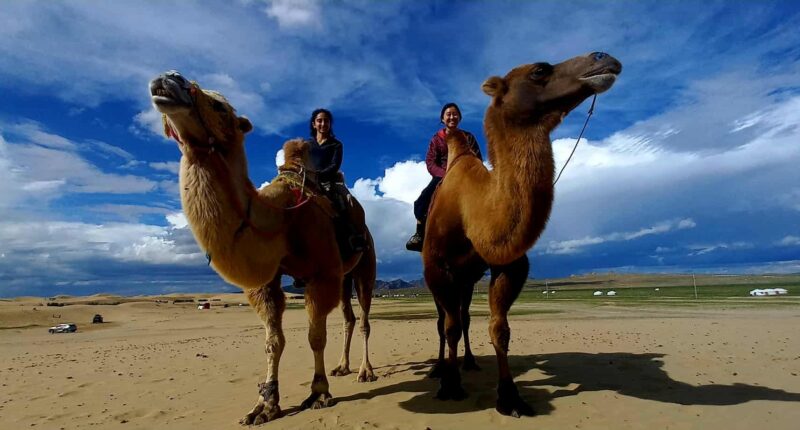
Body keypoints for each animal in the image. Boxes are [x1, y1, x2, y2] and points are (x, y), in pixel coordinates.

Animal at [149, 71, 377, 425]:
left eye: (220, 105)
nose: (167, 78)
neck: (280, 219)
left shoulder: (322, 273)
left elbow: (314, 335)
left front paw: (319, 393)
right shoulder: (267, 282)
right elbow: (273, 341)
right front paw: (265, 405)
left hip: (365, 265)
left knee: (364, 316)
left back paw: (365, 372)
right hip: (345, 275)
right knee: (349, 318)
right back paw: (343, 366)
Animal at [422, 52, 622, 416]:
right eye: (540, 70)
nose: (604, 58)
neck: (472, 207)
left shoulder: (510, 265)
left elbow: (499, 328)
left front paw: (510, 397)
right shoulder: (437, 268)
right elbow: (449, 326)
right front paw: (450, 384)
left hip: (467, 279)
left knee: (465, 316)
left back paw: (469, 362)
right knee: (446, 322)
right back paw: (441, 369)